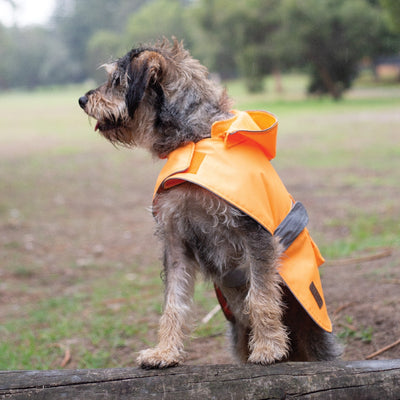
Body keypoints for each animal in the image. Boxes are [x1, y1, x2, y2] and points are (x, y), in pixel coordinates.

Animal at [79, 38, 340, 368]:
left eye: (116, 79)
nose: (82, 99)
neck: (195, 139)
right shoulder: (176, 241)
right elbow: (173, 302)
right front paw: (164, 351)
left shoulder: (255, 232)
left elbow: (261, 295)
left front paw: (268, 346)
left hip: (315, 335)